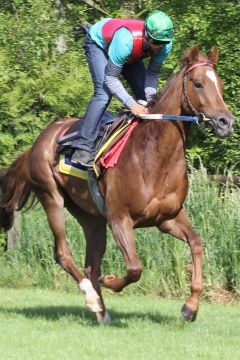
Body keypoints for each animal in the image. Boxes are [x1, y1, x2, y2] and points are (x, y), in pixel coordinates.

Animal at [0, 45, 233, 324]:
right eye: (198, 83)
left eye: (220, 83)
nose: (226, 122)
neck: (155, 156)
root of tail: (38, 141)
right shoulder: (120, 218)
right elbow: (134, 268)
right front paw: (110, 281)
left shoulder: (168, 217)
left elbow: (197, 244)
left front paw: (191, 307)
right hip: (51, 196)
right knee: (63, 253)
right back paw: (91, 297)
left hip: (92, 218)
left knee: (91, 263)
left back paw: (101, 312)